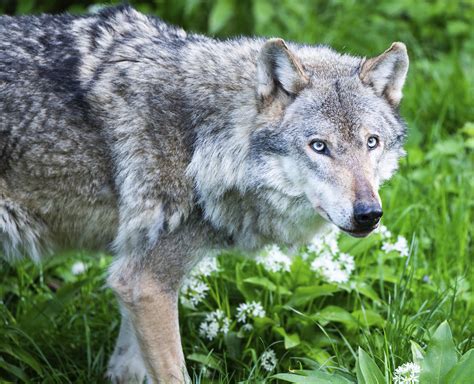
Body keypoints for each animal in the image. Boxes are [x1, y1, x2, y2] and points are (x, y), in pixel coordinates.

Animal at [0, 4, 408, 382]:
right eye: (319, 146)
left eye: (372, 142)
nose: (368, 213)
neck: (202, 139)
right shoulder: (146, 283)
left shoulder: (132, 282)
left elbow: (127, 366)